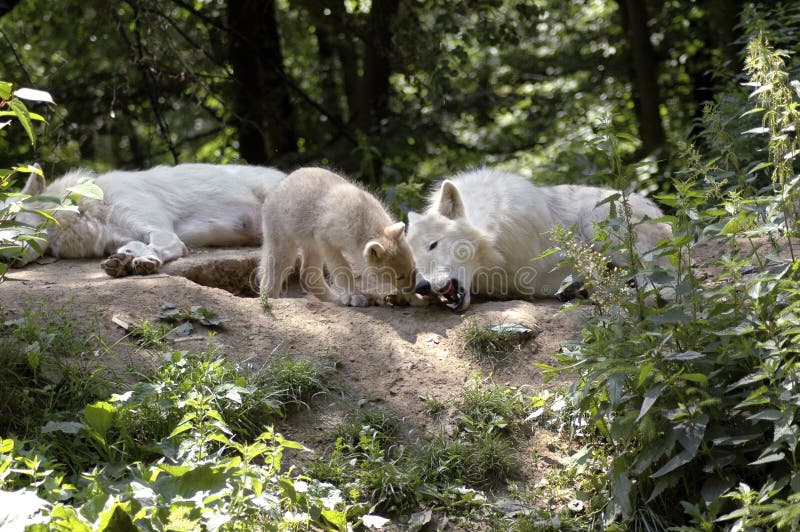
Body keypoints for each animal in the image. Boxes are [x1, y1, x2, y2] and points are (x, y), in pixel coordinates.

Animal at [1, 163, 284, 276]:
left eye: (12, 217)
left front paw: (146, 260)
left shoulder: (160, 230)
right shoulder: (121, 237)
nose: (3, 256)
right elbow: (131, 246)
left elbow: (161, 245)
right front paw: (123, 260)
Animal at [260, 168, 418, 306]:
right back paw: (268, 299)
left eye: (413, 268)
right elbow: (343, 267)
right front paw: (355, 297)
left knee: (308, 274)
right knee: (274, 272)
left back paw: (335, 299)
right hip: (284, 239)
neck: (363, 222)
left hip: (311, 243)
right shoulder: (326, 239)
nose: (413, 290)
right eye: (399, 276)